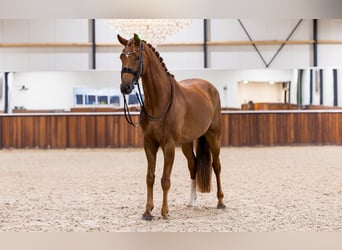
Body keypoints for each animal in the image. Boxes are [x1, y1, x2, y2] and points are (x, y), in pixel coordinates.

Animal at [117, 33, 224, 221]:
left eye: (137, 57)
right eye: (122, 57)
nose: (125, 87)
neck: (159, 101)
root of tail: (210, 87)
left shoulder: (168, 145)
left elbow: (165, 180)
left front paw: (164, 211)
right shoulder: (149, 144)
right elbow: (150, 177)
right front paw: (147, 211)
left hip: (214, 136)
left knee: (216, 166)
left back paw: (220, 202)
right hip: (187, 143)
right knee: (193, 165)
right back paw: (191, 201)